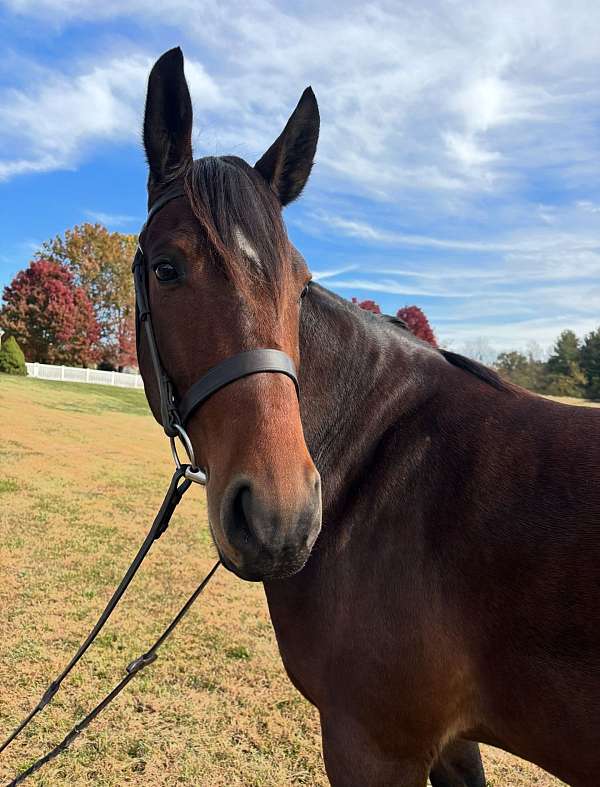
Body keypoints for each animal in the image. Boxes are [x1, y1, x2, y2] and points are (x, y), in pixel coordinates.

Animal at [137, 47, 600, 787]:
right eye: (164, 267)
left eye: (298, 285)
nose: (280, 518)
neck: (376, 465)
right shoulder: (448, 741)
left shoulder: (374, 745)